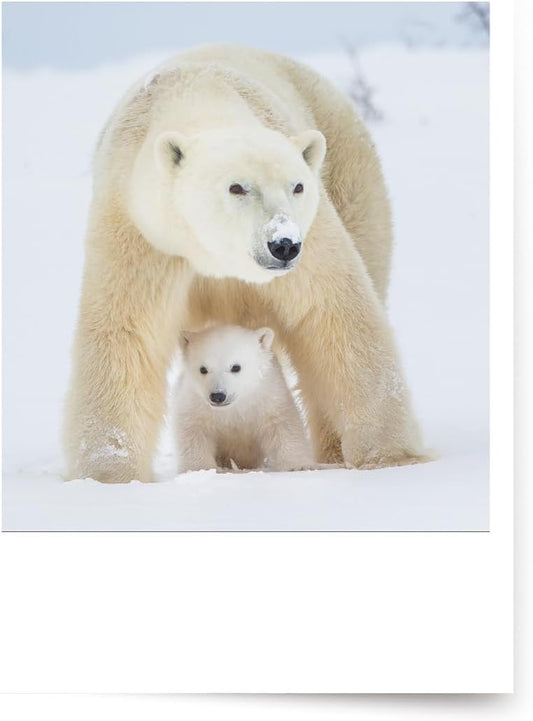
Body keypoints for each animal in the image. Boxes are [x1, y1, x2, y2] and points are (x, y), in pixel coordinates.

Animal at [173, 324, 313, 473]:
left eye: (236, 367)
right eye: (203, 369)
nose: (218, 396)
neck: (235, 406)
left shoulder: (268, 394)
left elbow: (282, 425)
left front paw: (297, 465)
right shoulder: (194, 401)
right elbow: (193, 431)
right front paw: (201, 468)